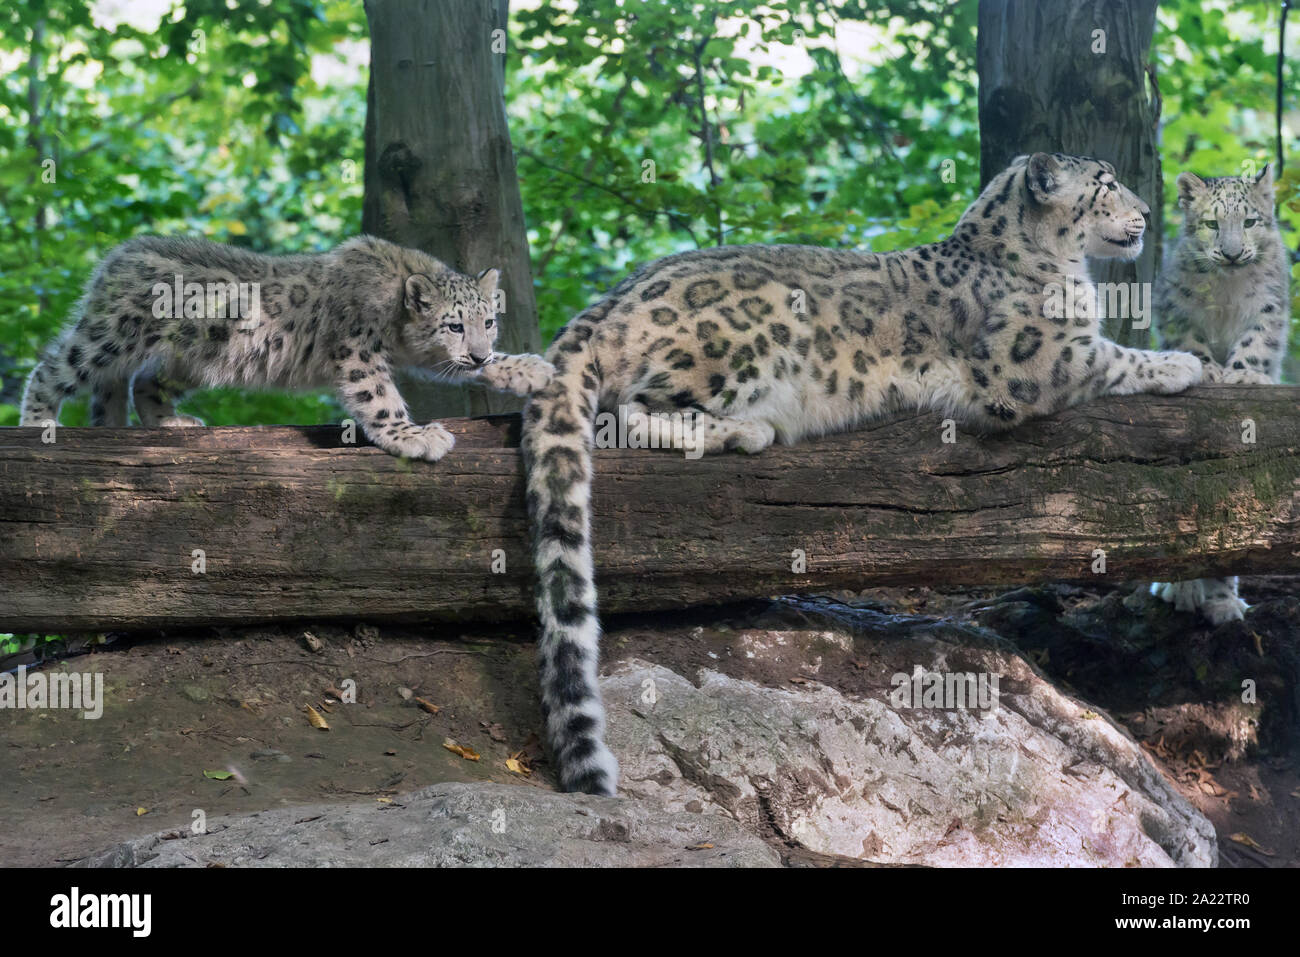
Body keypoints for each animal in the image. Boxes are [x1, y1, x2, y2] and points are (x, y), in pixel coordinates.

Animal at [20, 231, 551, 455]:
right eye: (454, 326)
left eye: (489, 322)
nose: (478, 350)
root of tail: (114, 255)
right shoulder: (359, 351)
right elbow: (380, 397)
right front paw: (413, 436)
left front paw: (529, 368)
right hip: (109, 336)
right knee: (52, 367)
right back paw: (38, 423)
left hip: (192, 355)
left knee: (143, 382)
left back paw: (171, 422)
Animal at [522, 151, 1201, 790]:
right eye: (1106, 183)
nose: (1147, 213)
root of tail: (612, 297)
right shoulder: (1044, 359)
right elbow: (1117, 357)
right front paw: (1186, 364)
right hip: (738, 346)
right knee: (633, 412)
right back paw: (751, 429)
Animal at [1154, 162, 1284, 629]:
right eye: (1212, 224)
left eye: (1249, 222)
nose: (1230, 254)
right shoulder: (1178, 310)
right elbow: (1191, 341)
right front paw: (1210, 371)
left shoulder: (1268, 308)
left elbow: (1256, 342)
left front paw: (1244, 377)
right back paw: (1182, 591)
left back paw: (1224, 603)